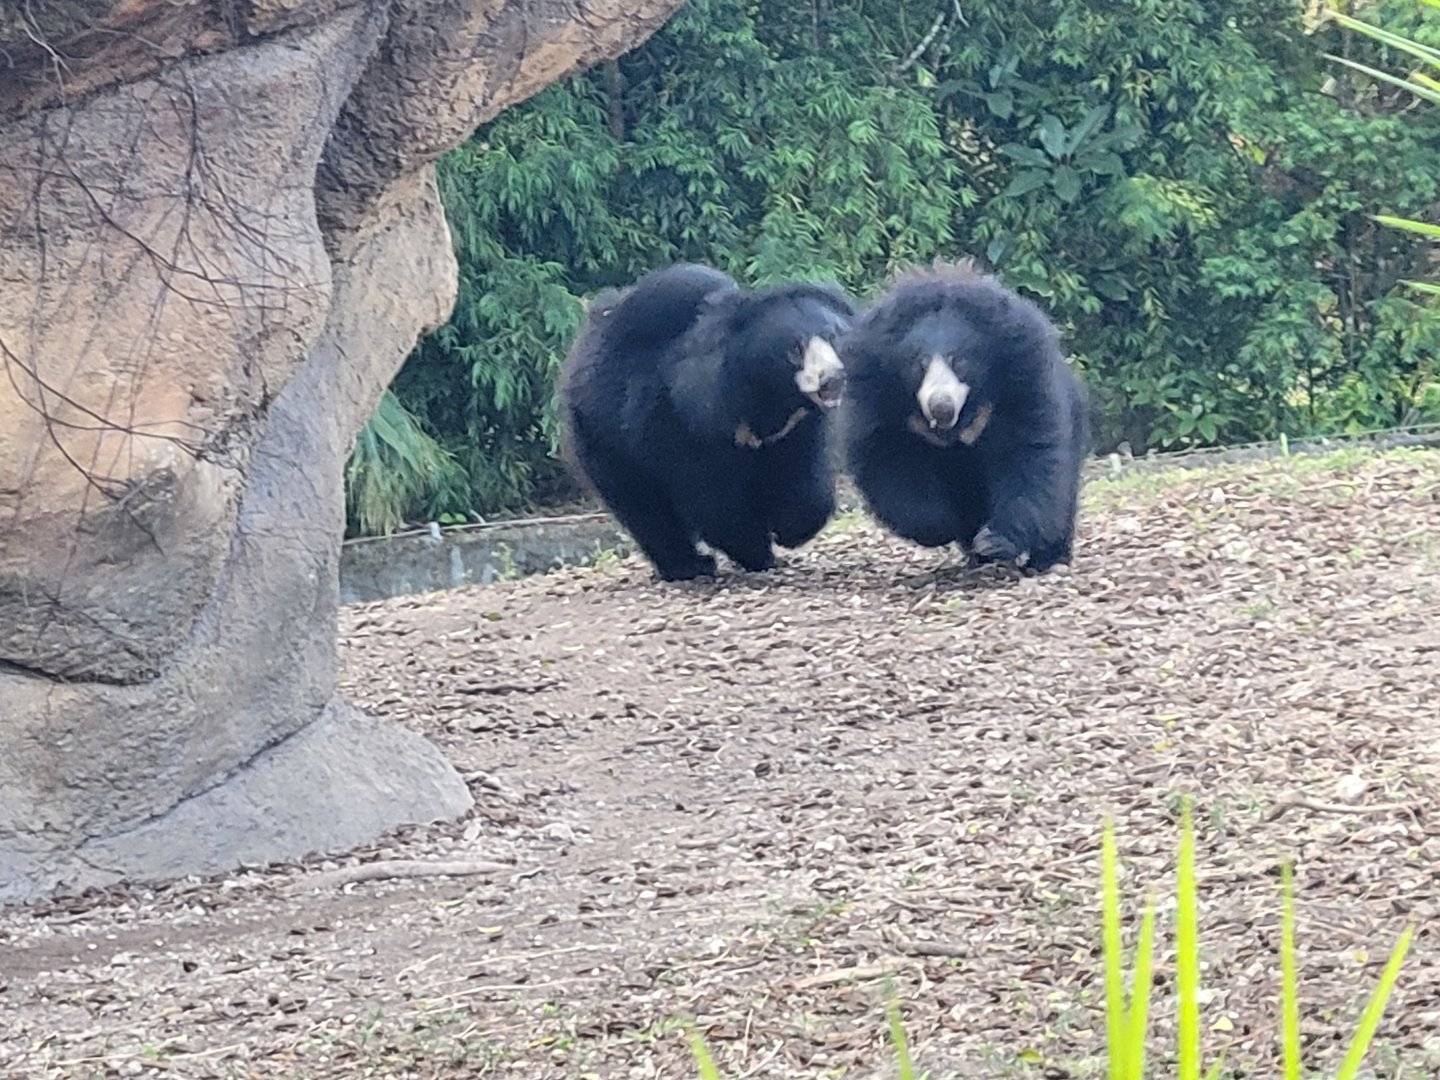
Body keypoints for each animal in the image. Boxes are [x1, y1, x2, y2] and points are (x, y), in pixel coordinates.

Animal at [559, 262, 855, 581]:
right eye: (794, 349)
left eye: (834, 337)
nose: (833, 378)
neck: (769, 401)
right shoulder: (680, 424)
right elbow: (713, 501)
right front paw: (759, 552)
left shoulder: (796, 430)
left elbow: (804, 479)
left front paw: (789, 530)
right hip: (604, 437)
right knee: (644, 508)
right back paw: (689, 566)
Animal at [838, 260, 1090, 572]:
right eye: (919, 364)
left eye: (959, 361)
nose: (941, 405)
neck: (956, 426)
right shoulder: (880, 405)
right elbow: (890, 464)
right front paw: (945, 526)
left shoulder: (1021, 385)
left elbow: (1029, 455)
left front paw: (994, 540)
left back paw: (1048, 558)